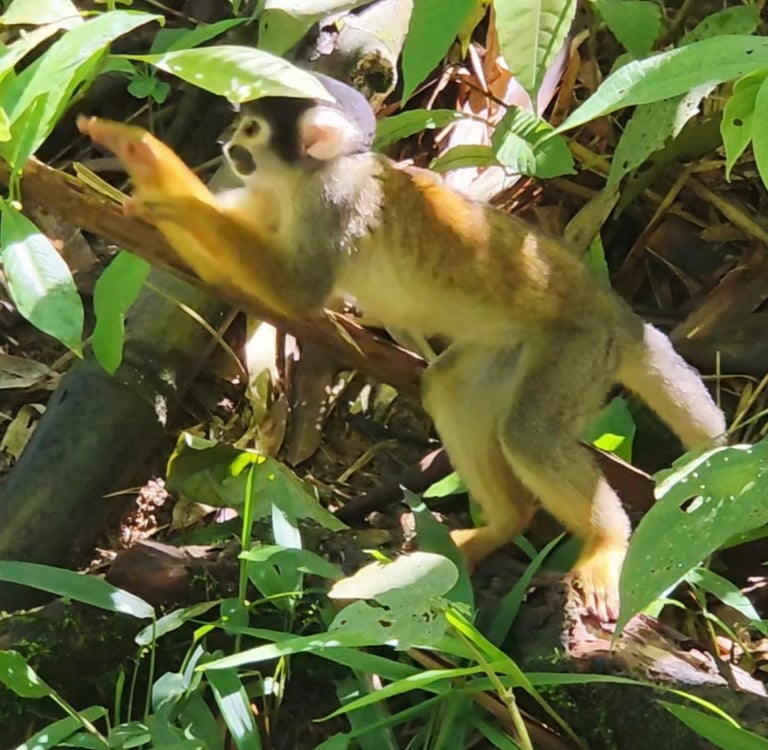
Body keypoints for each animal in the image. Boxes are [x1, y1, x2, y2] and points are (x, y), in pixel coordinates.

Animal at [76, 75, 726, 621]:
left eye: (253, 130)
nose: (227, 142)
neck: (303, 179)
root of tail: (615, 311)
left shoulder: (332, 202)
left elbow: (294, 293)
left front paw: (156, 177)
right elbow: (233, 272)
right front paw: (143, 183)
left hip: (577, 352)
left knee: (529, 434)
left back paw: (606, 540)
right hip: (511, 349)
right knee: (453, 391)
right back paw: (503, 523)